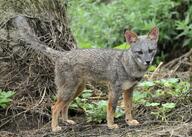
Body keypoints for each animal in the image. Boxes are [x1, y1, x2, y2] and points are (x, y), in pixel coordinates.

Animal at [15, 15, 158, 132]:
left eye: (151, 50)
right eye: (139, 52)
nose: (148, 61)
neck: (127, 65)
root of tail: (63, 54)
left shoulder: (129, 90)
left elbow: (128, 108)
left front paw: (129, 121)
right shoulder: (114, 90)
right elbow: (111, 109)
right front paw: (110, 125)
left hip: (77, 90)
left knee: (64, 106)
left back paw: (66, 121)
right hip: (69, 91)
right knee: (54, 107)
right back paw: (55, 128)